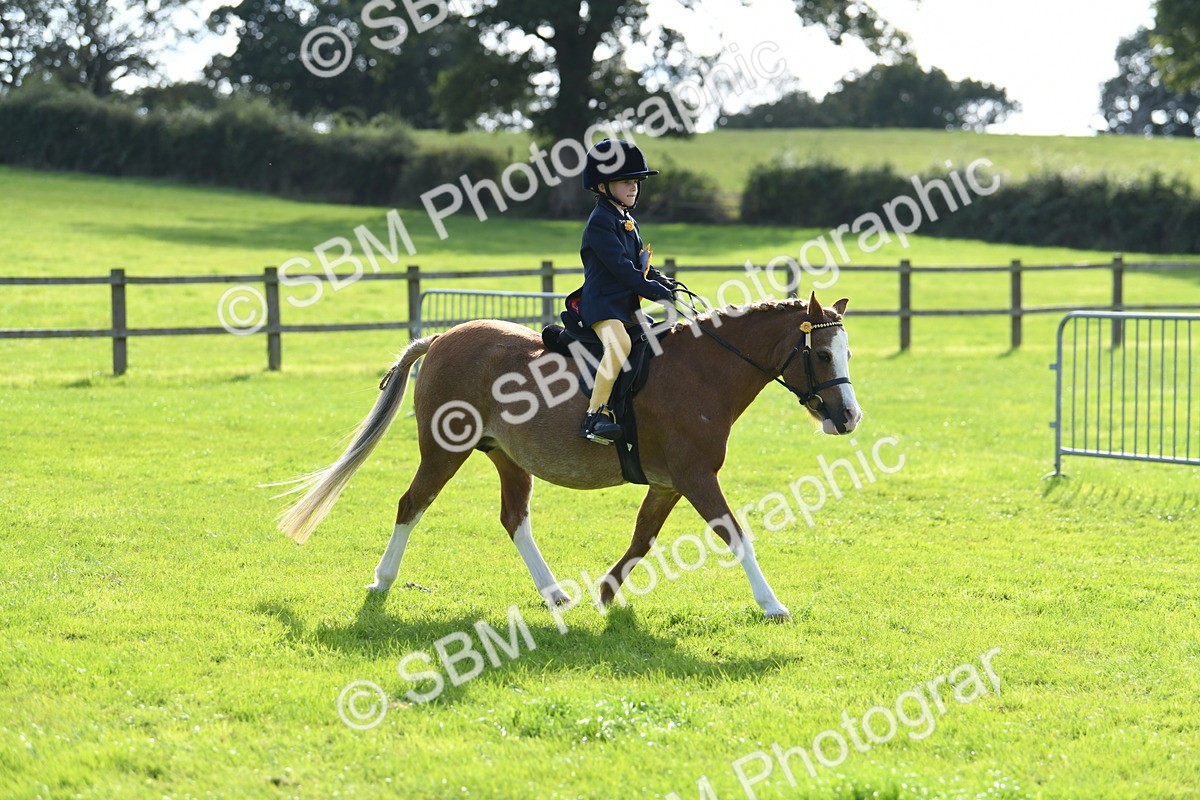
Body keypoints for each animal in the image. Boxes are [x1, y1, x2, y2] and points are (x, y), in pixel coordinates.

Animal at [277, 292, 862, 620]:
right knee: (411, 504)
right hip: (445, 449)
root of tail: (442, 339)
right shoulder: (696, 477)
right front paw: (772, 605)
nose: (850, 417)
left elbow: (643, 539)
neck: (703, 369)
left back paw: (556, 594)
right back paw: (382, 579)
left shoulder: (669, 482)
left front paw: (606, 592)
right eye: (822, 353)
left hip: (507, 457)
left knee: (513, 517)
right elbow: (735, 535)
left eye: (846, 352)